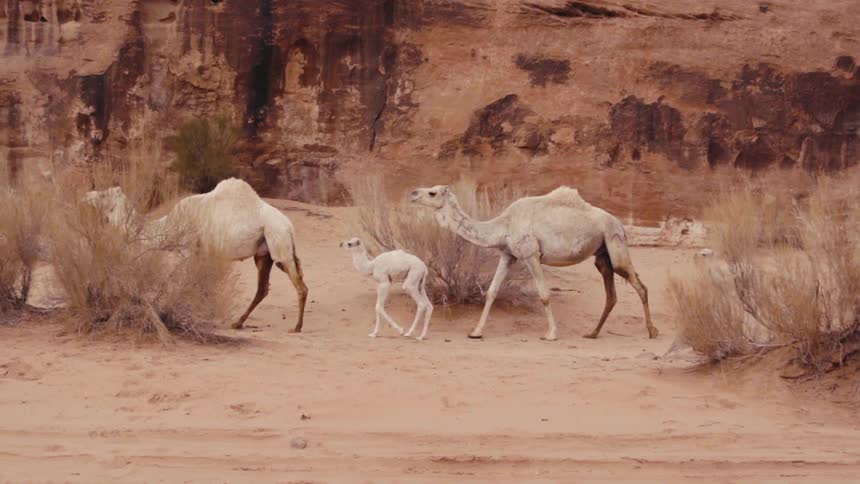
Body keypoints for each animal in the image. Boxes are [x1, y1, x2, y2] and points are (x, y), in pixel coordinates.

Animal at [83, 178, 308, 332]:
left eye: (103, 194)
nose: (86, 195)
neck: (168, 225)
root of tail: (289, 226)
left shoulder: (187, 251)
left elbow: (179, 282)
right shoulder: (200, 254)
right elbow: (199, 286)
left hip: (278, 242)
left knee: (300, 285)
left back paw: (296, 327)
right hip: (263, 254)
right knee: (263, 289)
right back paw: (237, 323)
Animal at [409, 185, 656, 341]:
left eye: (432, 192)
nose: (412, 193)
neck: (503, 225)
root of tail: (620, 223)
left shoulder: (531, 254)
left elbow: (544, 295)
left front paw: (551, 334)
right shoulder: (508, 254)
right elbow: (491, 292)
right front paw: (476, 332)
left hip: (615, 243)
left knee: (640, 285)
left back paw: (652, 331)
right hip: (602, 254)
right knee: (611, 294)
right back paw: (592, 333)